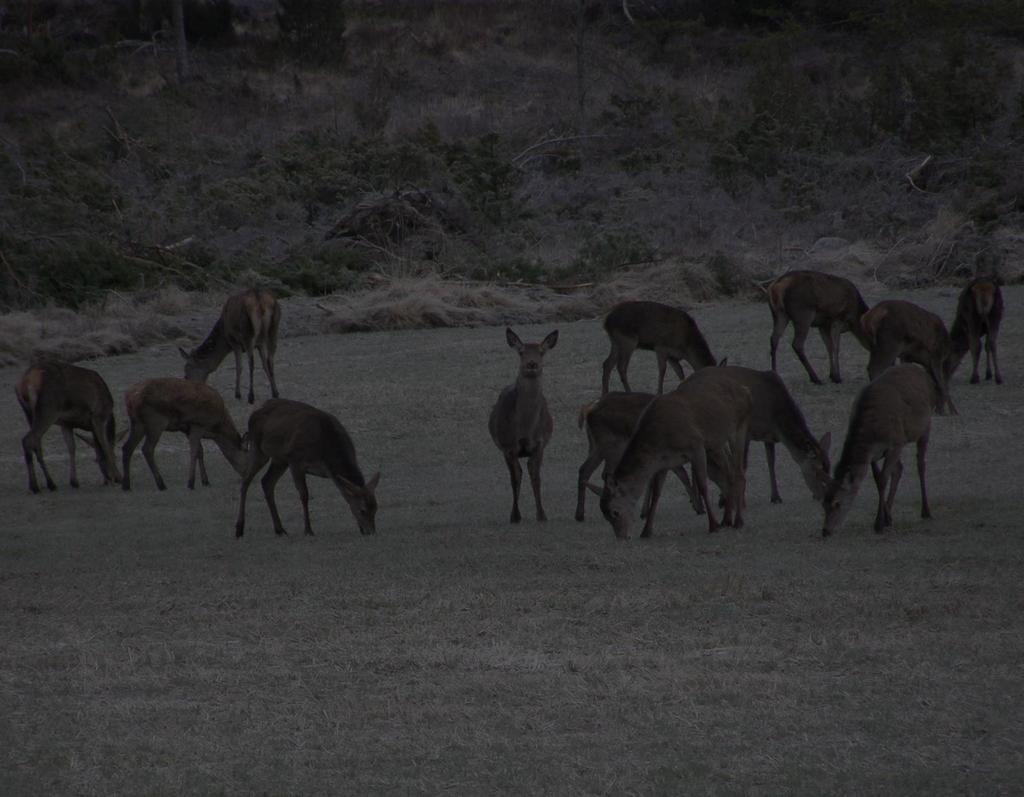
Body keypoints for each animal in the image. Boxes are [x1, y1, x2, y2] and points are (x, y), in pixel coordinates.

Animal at [14, 360, 120, 489]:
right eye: (116, 457)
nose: (108, 478)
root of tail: (26, 381)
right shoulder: (98, 416)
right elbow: (106, 446)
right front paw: (118, 477)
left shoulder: (66, 423)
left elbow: (71, 447)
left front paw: (74, 481)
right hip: (48, 410)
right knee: (28, 440)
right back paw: (35, 486)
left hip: (29, 413)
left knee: (36, 444)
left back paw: (50, 483)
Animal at [235, 395, 380, 536]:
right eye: (362, 510)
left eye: (376, 508)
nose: (370, 532)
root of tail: (254, 414)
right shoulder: (295, 459)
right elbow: (304, 495)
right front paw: (308, 530)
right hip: (259, 448)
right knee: (246, 479)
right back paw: (239, 528)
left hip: (280, 459)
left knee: (266, 481)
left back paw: (280, 529)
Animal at [489, 323, 561, 522]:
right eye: (521, 352)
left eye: (541, 352)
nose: (532, 364)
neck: (524, 429)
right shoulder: (508, 446)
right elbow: (515, 478)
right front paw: (515, 516)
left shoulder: (540, 444)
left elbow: (535, 477)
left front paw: (542, 515)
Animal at [598, 368, 753, 536]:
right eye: (605, 515)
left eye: (615, 512)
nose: (622, 536)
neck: (661, 441)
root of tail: (745, 390)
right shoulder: (665, 462)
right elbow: (656, 495)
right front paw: (646, 531)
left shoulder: (696, 446)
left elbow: (703, 486)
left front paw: (713, 525)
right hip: (717, 442)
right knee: (728, 474)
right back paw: (727, 520)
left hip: (739, 427)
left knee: (738, 474)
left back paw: (738, 521)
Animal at [823, 362, 937, 536]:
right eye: (823, 502)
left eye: (837, 503)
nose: (825, 530)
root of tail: (920, 370)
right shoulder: (873, 454)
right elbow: (878, 479)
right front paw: (885, 518)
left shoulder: (896, 442)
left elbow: (883, 479)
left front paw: (879, 524)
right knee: (899, 469)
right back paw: (890, 513)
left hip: (926, 424)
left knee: (920, 464)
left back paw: (926, 511)